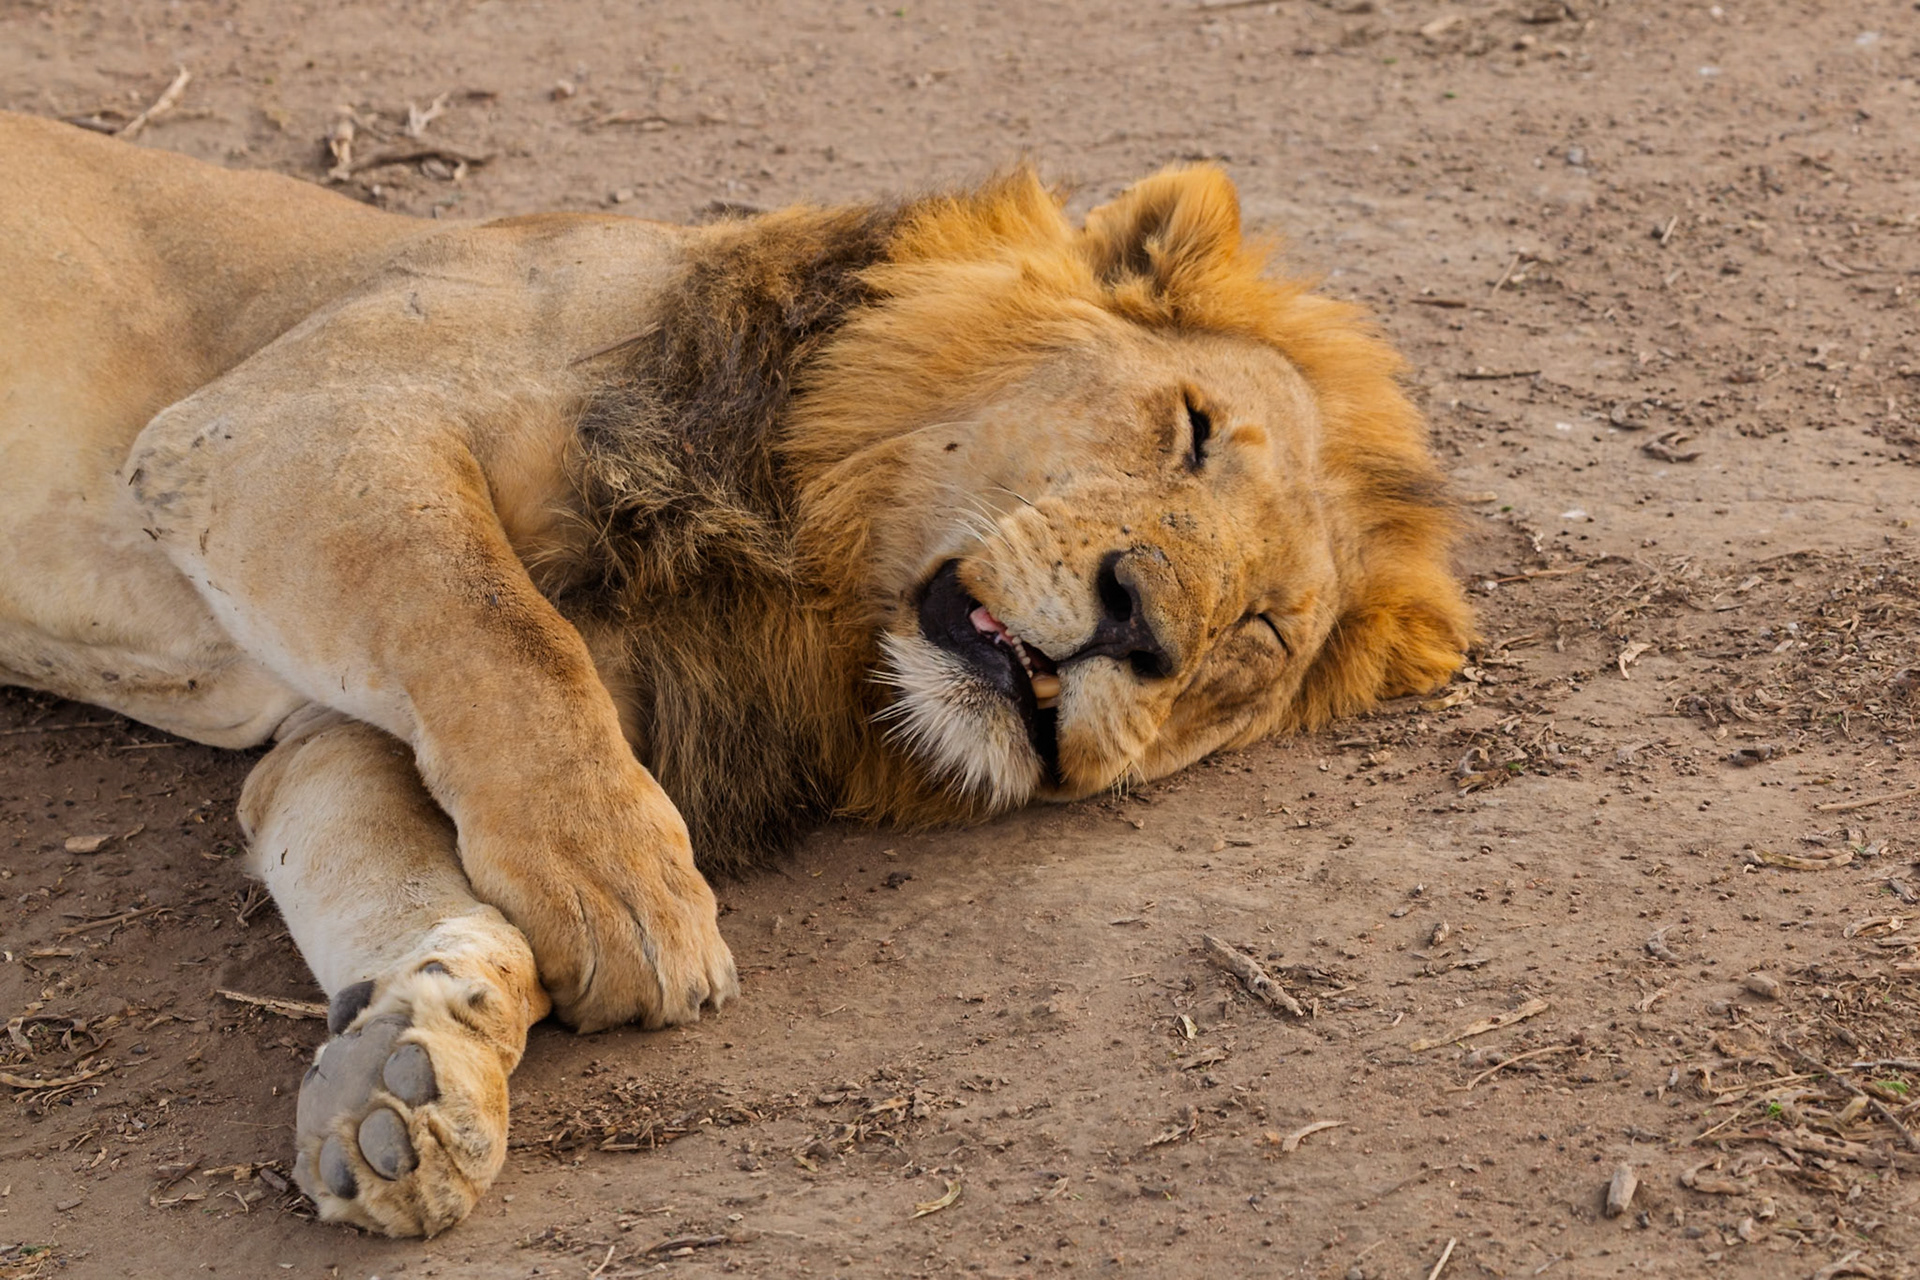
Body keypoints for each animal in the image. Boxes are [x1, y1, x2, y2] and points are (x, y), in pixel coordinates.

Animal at [0, 110, 1471, 1236]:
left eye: (1257, 634)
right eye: (1194, 431)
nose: (1140, 624)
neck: (804, 578)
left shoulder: (342, 717)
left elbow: (392, 834)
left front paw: (409, 1070)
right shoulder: (279, 424)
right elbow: (503, 637)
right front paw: (632, 899)